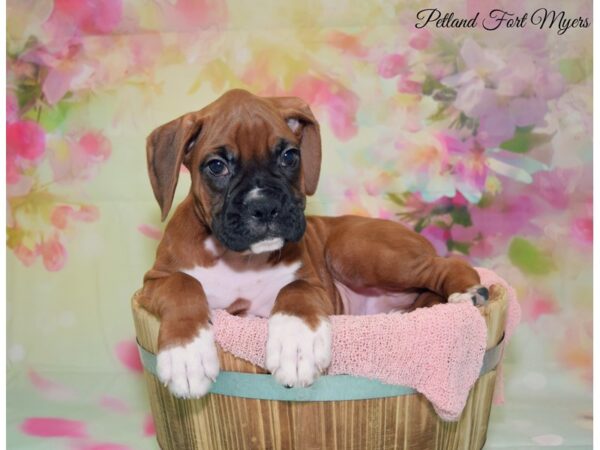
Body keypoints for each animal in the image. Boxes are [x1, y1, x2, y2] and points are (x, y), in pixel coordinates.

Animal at [142, 88, 488, 398]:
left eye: (289, 156)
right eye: (216, 166)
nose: (265, 205)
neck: (240, 261)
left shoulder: (312, 282)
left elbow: (295, 291)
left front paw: (296, 345)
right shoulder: (154, 283)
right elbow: (183, 284)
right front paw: (186, 354)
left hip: (355, 250)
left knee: (445, 265)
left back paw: (468, 291)